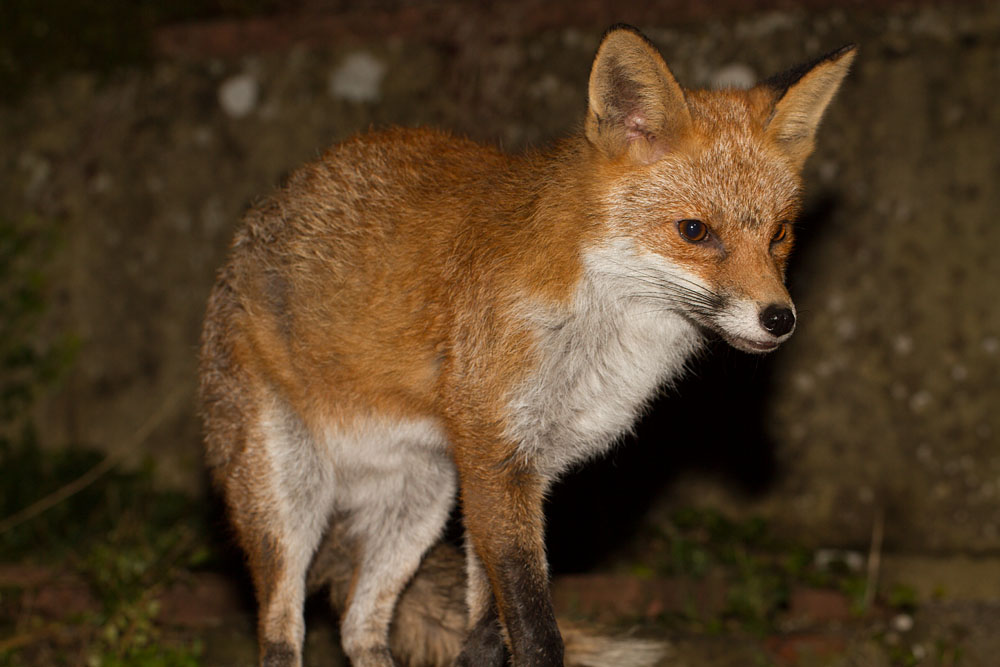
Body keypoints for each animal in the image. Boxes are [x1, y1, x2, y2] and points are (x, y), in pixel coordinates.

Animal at [199, 24, 855, 667]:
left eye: (780, 234)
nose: (780, 319)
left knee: (361, 628)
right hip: (288, 500)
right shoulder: (496, 459)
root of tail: (274, 203)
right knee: (282, 634)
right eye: (694, 231)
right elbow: (537, 630)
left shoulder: (530, 470)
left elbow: (487, 635)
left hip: (420, 503)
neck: (600, 333)